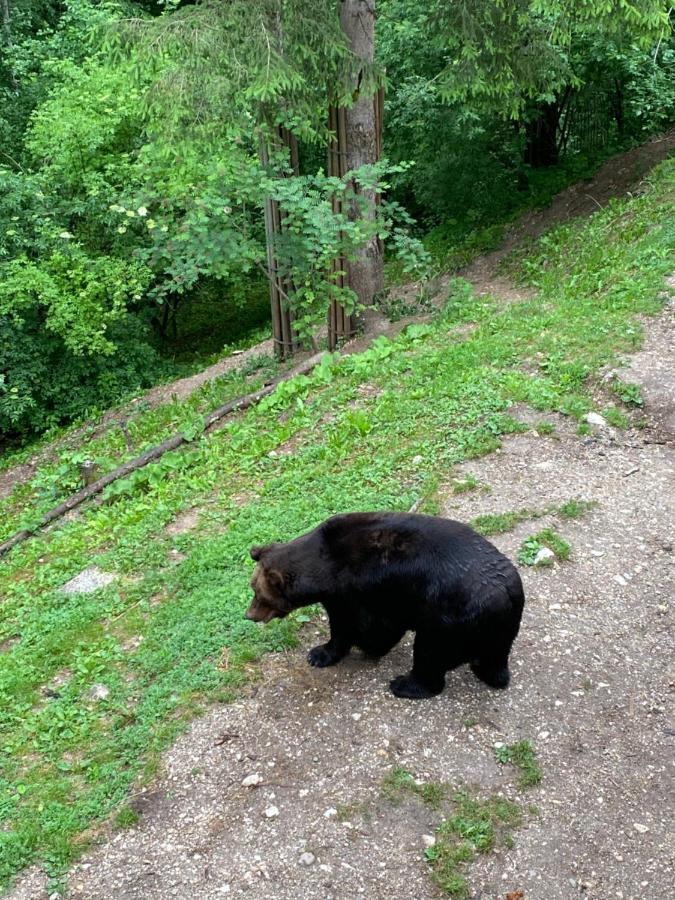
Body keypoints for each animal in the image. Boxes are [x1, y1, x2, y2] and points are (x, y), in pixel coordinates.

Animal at [246, 512, 524, 696]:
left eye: (259, 595)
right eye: (253, 589)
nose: (249, 615)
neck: (325, 569)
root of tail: (506, 594)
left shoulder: (364, 588)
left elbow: (360, 625)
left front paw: (321, 653)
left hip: (449, 616)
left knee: (430, 652)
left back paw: (405, 684)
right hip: (497, 630)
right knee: (493, 660)